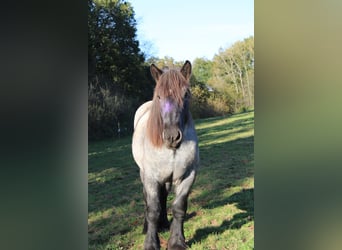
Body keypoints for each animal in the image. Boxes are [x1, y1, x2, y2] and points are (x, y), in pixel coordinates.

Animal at [132, 61, 199, 250]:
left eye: (186, 94)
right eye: (159, 96)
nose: (172, 136)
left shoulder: (188, 176)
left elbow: (179, 207)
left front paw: (177, 241)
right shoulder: (151, 178)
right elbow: (152, 209)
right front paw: (151, 243)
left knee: (163, 196)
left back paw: (164, 223)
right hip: (145, 175)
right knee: (148, 199)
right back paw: (147, 227)